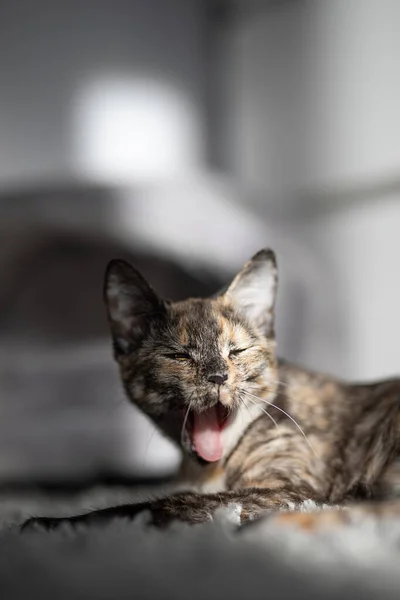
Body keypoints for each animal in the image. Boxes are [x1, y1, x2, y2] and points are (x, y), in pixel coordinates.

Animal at [22, 248, 400, 528]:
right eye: (178, 355)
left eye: (237, 351)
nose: (218, 376)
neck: (204, 470)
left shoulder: (294, 491)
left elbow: (164, 504)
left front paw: (52, 522)